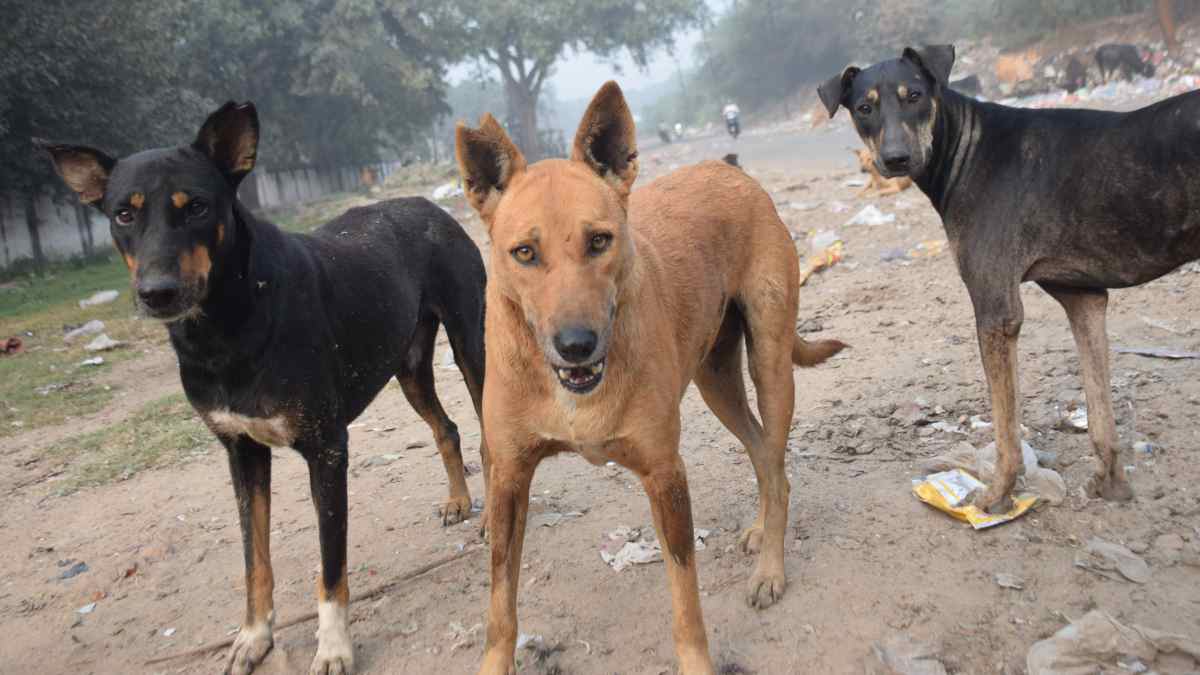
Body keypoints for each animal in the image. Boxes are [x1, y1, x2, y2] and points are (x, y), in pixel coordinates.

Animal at [39, 102, 488, 675]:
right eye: (123, 214)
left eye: (197, 207)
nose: (157, 293)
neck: (226, 326)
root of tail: (425, 203)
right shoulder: (241, 451)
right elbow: (255, 560)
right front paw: (254, 636)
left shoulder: (327, 449)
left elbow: (330, 567)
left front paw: (333, 646)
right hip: (407, 367)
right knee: (446, 427)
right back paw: (458, 501)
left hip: (471, 342)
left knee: (487, 429)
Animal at [455, 81, 846, 674]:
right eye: (523, 252)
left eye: (599, 241)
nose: (576, 345)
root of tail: (730, 170)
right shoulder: (508, 479)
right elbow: (500, 603)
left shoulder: (664, 473)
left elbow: (686, 599)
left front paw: (698, 662)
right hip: (716, 381)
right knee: (763, 454)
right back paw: (760, 530)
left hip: (771, 363)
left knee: (778, 464)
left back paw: (771, 569)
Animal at [819, 44, 1200, 512]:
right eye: (864, 108)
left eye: (915, 96)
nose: (895, 160)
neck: (965, 148)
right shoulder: (1083, 296)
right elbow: (1099, 410)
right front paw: (1111, 484)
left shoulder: (996, 311)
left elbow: (1005, 426)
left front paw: (999, 492)